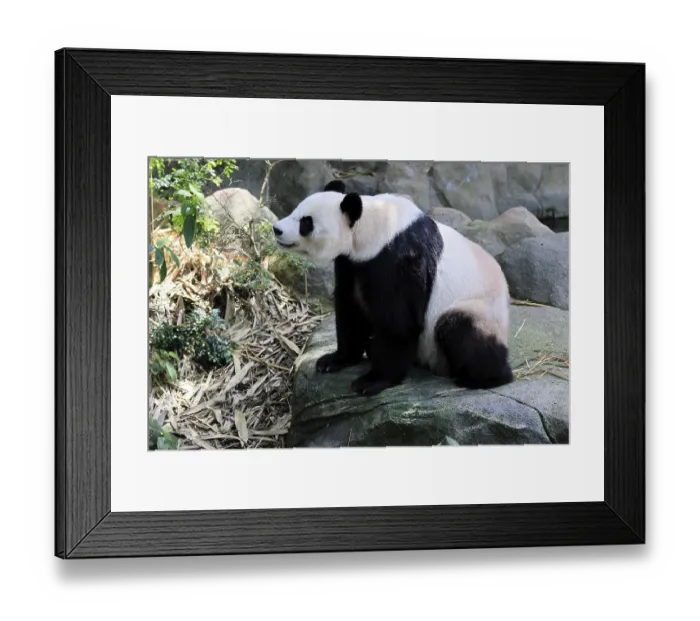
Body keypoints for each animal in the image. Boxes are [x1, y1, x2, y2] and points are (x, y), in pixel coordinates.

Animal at [272, 179, 514, 396]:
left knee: (460, 330)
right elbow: (350, 309)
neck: (371, 224)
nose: (277, 229)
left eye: (306, 222)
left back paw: (483, 378)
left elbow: (398, 321)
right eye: (295, 210)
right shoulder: (352, 263)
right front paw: (334, 360)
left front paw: (371, 382)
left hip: (479, 310)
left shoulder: (400, 260)